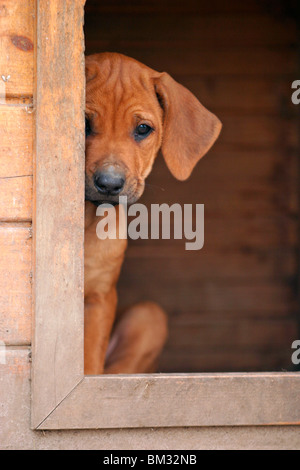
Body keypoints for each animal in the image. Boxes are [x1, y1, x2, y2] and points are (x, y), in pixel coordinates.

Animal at [83, 52, 221, 374]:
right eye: (83, 123)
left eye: (143, 129)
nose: (109, 184)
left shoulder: (99, 297)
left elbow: (89, 368)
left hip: (149, 318)